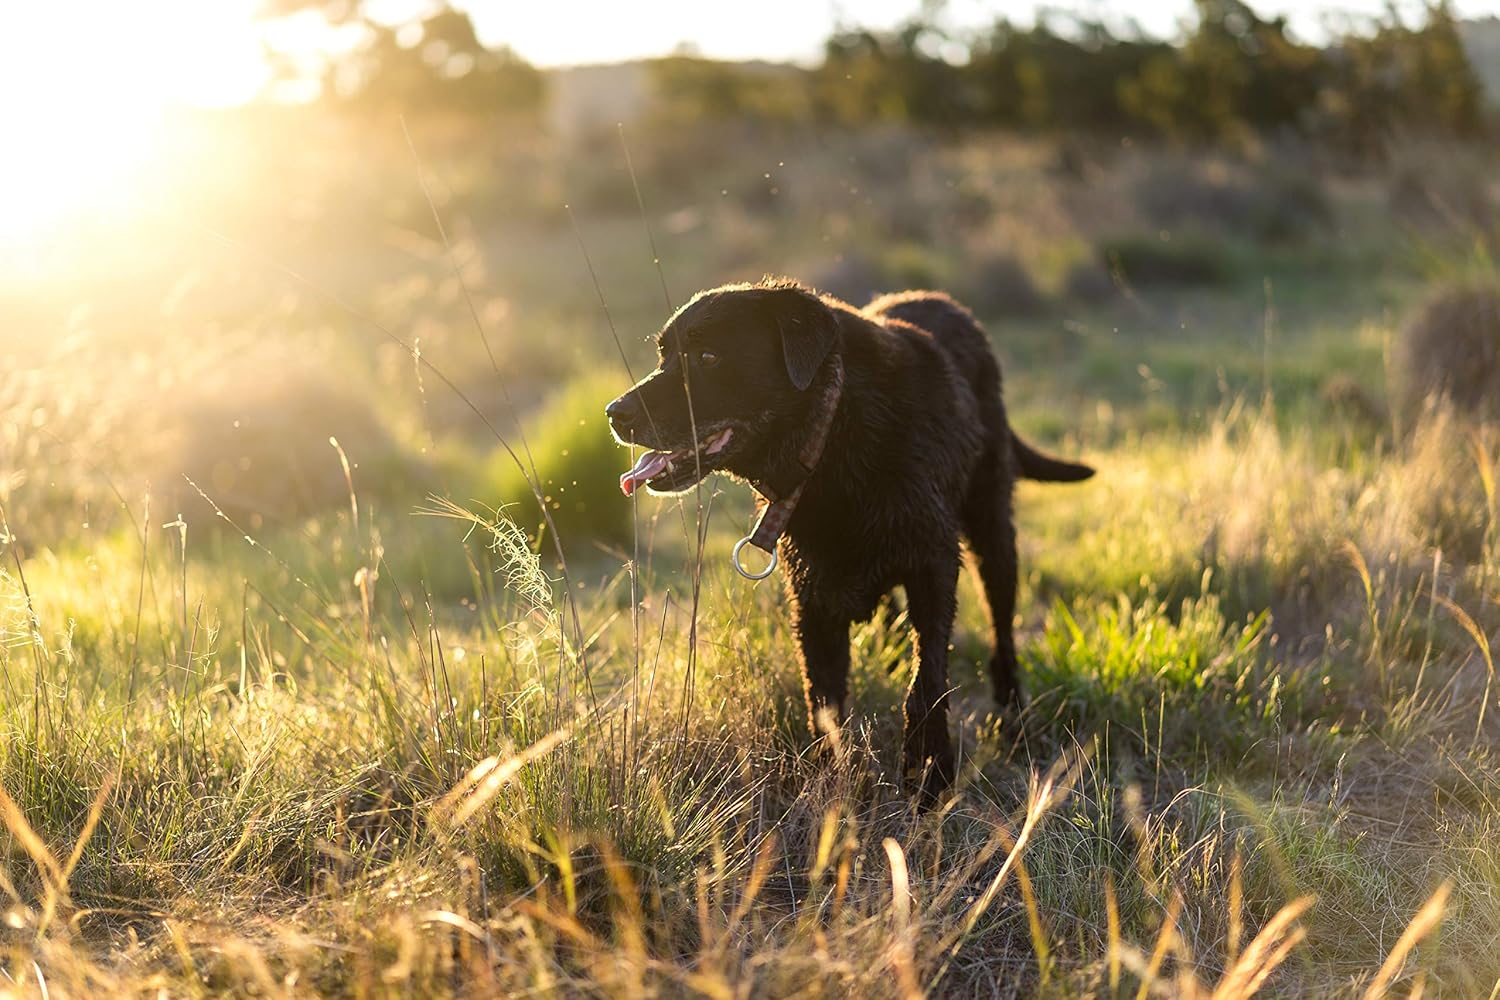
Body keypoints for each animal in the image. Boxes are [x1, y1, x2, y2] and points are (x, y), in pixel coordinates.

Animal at [606, 277, 1092, 791]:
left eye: (708, 357)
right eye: (663, 355)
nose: (615, 413)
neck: (836, 433)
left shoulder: (935, 565)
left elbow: (926, 683)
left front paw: (929, 770)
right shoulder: (812, 600)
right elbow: (824, 706)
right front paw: (828, 788)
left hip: (993, 528)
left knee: (1001, 629)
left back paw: (1013, 712)